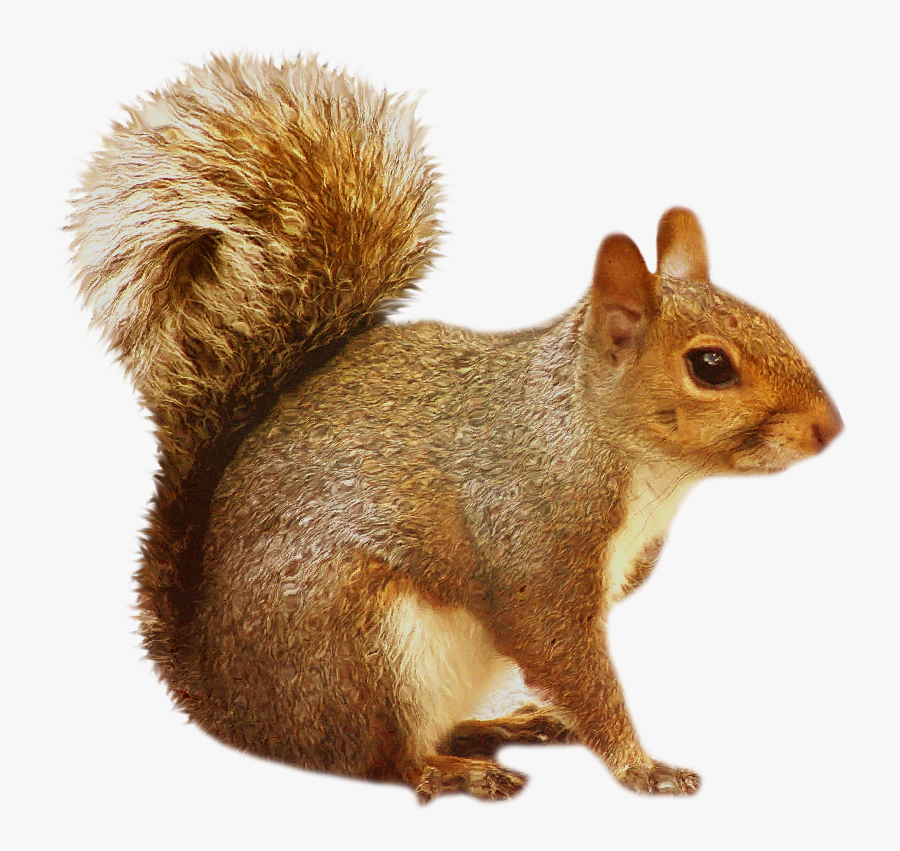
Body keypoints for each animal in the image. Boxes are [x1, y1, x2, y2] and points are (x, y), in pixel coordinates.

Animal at [70, 54, 842, 802]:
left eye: (769, 320)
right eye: (710, 365)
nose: (829, 428)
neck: (607, 444)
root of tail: (225, 698)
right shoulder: (533, 542)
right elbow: (566, 655)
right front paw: (642, 768)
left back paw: (501, 727)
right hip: (362, 642)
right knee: (380, 757)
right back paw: (452, 770)